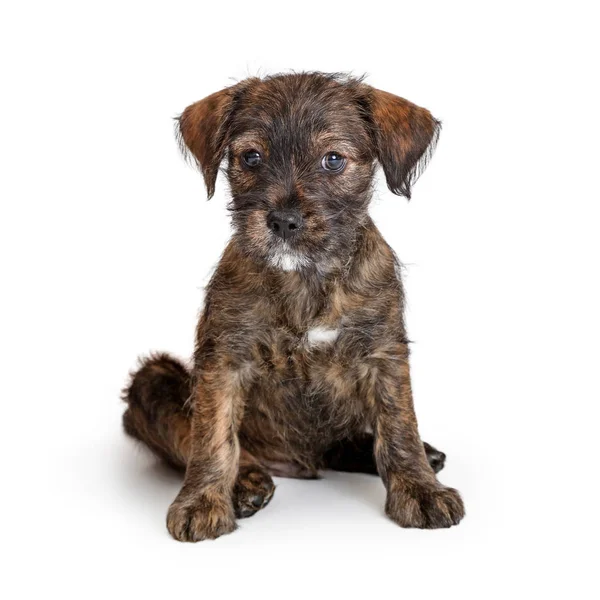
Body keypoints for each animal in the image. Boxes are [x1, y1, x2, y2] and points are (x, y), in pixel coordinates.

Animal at [122, 72, 464, 540]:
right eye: (251, 157)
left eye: (333, 160)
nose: (283, 221)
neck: (305, 278)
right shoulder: (223, 358)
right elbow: (211, 435)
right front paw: (202, 502)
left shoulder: (384, 352)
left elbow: (399, 427)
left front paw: (420, 488)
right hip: (152, 378)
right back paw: (246, 481)